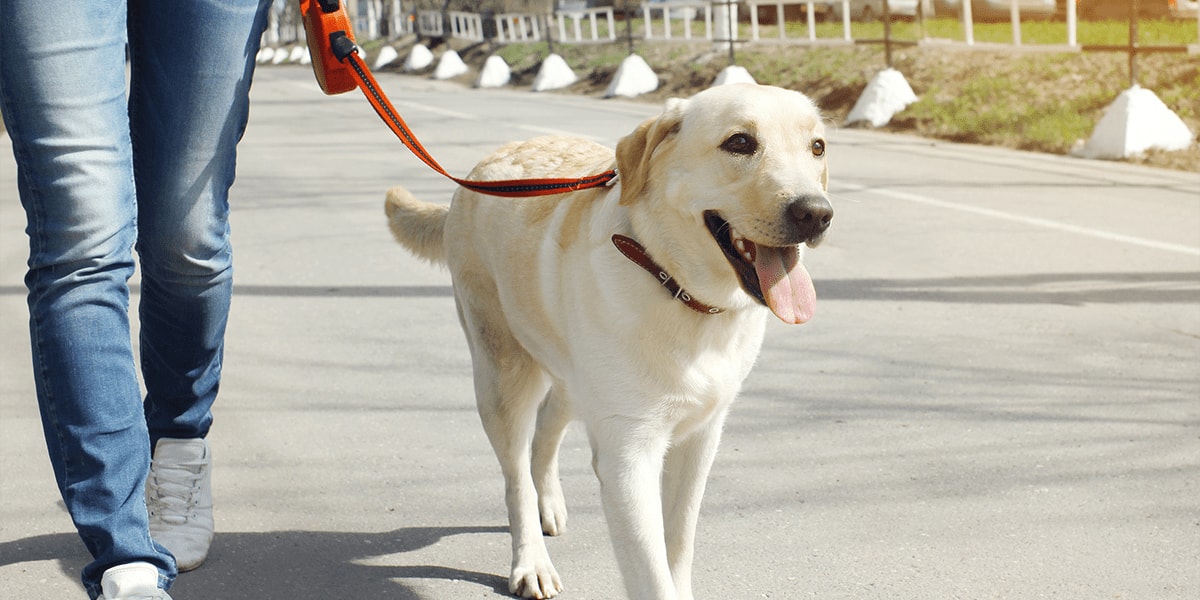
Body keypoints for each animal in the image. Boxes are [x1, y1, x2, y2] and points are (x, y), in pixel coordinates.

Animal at [386, 84, 835, 600]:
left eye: (817, 147)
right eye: (740, 143)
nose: (816, 213)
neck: (674, 285)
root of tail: (481, 170)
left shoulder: (701, 439)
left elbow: (679, 542)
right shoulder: (629, 454)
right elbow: (653, 574)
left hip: (571, 374)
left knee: (547, 427)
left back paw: (548, 502)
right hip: (502, 374)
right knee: (516, 474)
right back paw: (531, 559)